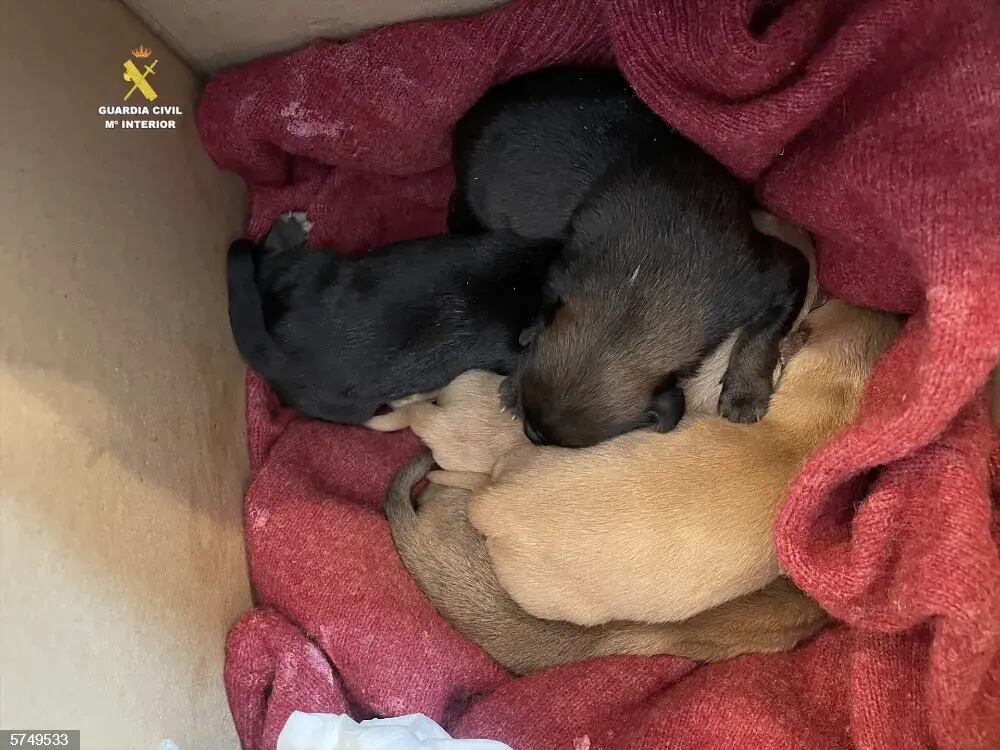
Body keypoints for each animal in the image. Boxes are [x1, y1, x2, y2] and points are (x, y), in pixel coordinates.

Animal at [450, 66, 808, 446]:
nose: (531, 435)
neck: (641, 288)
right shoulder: (563, 273)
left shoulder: (777, 275)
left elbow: (762, 334)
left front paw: (745, 392)